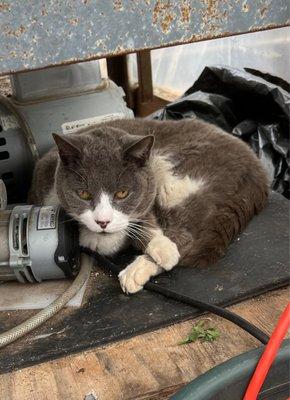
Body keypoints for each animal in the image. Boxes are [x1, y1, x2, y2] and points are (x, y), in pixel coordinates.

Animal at [29, 117, 268, 292]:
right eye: (84, 194)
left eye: (122, 193)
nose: (103, 221)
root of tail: (257, 169)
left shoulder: (151, 184)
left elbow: (145, 215)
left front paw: (160, 247)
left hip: (178, 175)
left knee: (185, 236)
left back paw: (140, 268)